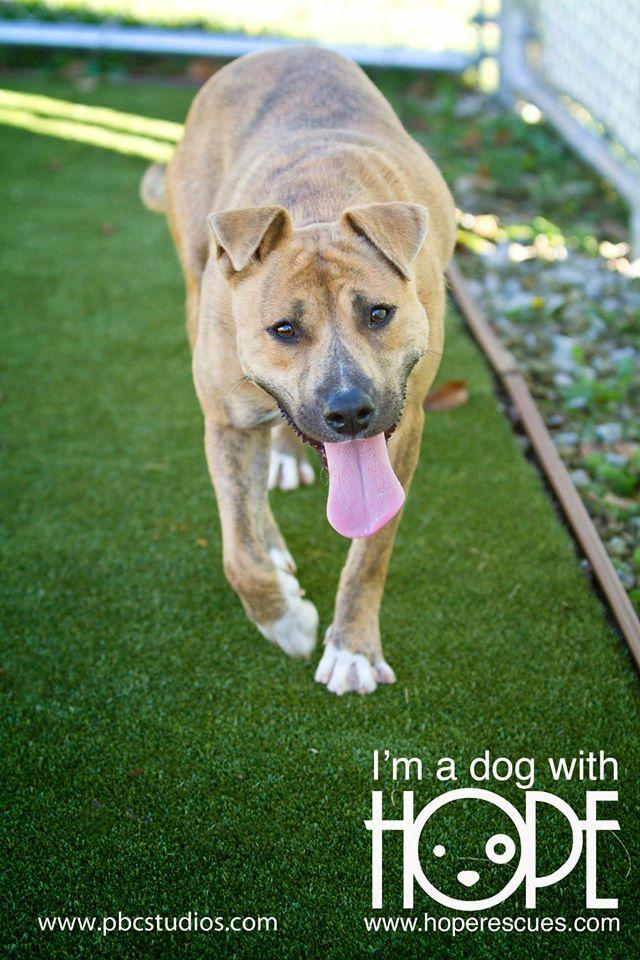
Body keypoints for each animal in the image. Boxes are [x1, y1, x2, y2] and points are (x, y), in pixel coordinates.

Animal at [142, 45, 458, 692]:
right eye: (283, 329)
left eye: (379, 313)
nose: (349, 411)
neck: (318, 208)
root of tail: (275, 47)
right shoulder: (226, 421)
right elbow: (237, 552)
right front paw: (284, 619)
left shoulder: (406, 426)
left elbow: (370, 551)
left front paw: (353, 647)